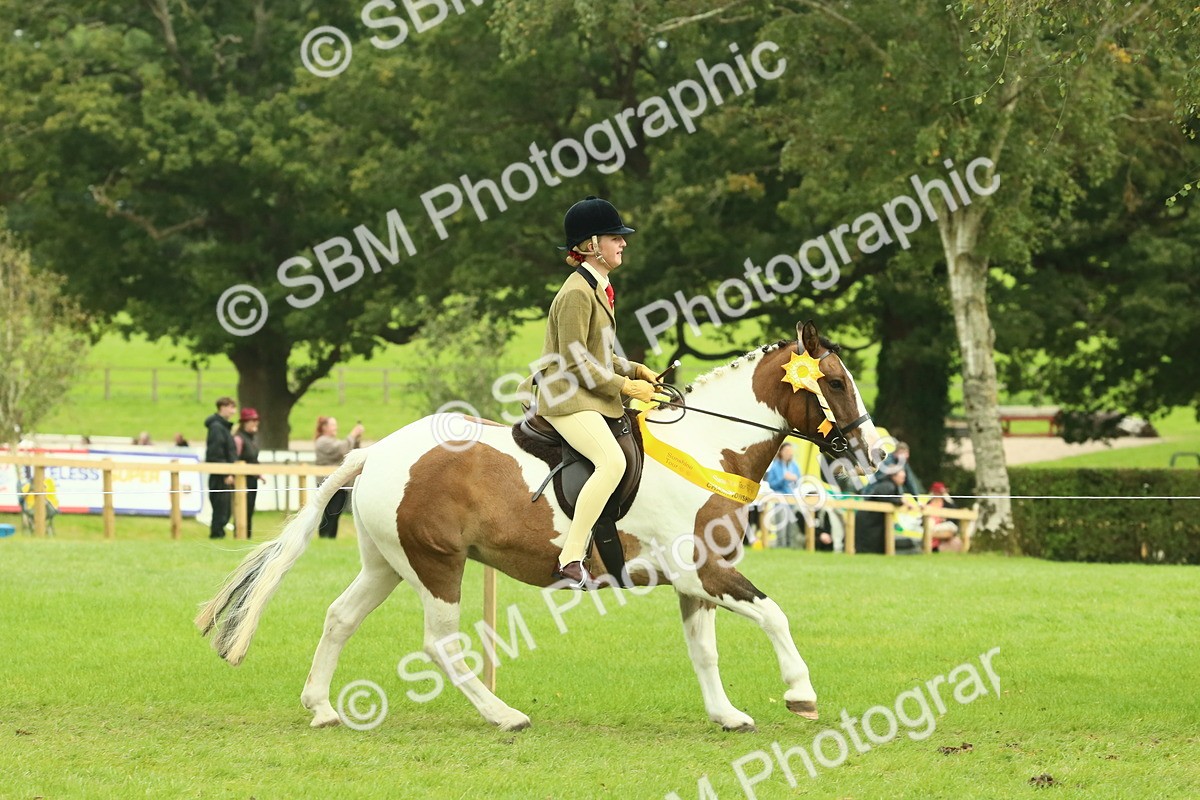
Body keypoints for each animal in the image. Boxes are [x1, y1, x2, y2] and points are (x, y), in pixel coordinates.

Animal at [195, 320, 885, 733]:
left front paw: (726, 714)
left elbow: (704, 649)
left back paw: (321, 708)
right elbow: (774, 615)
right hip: (437, 565)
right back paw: (503, 715)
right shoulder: (704, 569)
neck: (707, 447)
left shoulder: (694, 581)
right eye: (836, 380)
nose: (871, 453)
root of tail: (379, 451)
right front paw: (799, 694)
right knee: (441, 645)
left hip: (387, 563)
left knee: (340, 616)